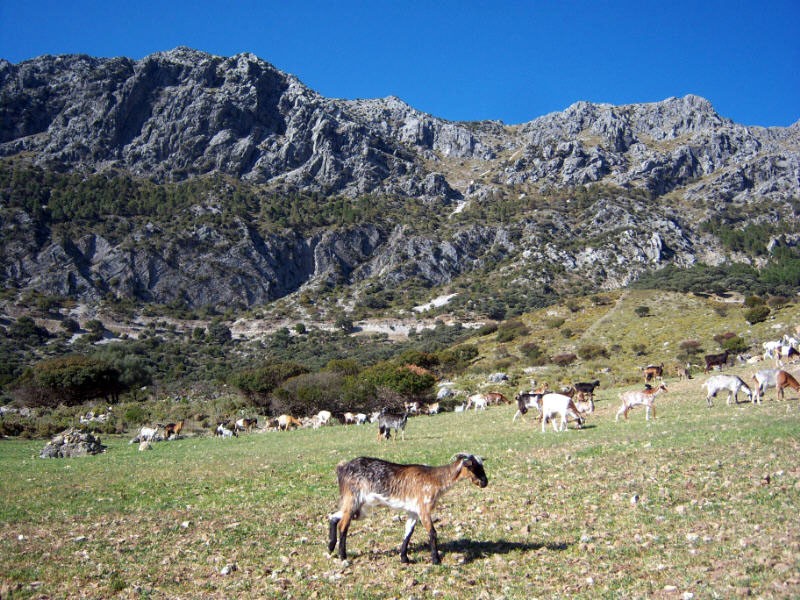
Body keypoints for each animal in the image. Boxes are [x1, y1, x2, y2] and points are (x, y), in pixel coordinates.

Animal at [326, 452, 488, 564]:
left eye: (482, 466)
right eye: (472, 466)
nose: (485, 482)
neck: (435, 479)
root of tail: (342, 468)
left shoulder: (413, 511)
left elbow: (408, 532)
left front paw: (404, 558)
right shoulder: (423, 508)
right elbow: (432, 532)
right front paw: (436, 560)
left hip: (360, 507)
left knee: (334, 517)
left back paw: (331, 546)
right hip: (353, 499)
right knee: (343, 525)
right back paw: (343, 556)